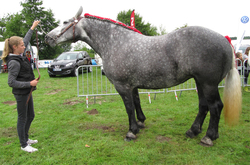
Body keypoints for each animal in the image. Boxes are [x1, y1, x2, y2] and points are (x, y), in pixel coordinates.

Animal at [45, 6, 242, 146]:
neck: (116, 43)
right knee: (203, 106)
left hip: (208, 83)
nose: (47, 37)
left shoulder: (122, 86)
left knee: (215, 106)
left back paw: (209, 137)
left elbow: (129, 107)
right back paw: (193, 131)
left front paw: (131, 131)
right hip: (199, 82)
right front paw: (140, 123)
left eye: (65, 21)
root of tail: (224, 40)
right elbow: (137, 102)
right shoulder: (132, 85)